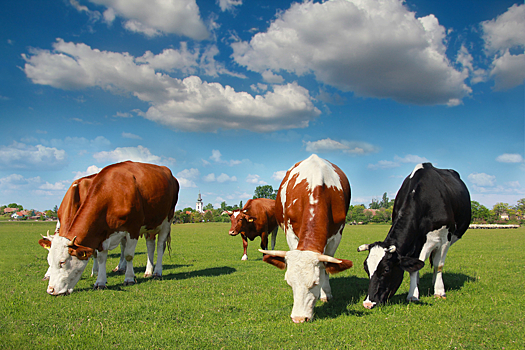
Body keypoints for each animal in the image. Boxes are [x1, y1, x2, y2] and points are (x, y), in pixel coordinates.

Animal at [37, 161, 179, 296]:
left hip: (166, 220)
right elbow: (101, 257)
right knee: (150, 245)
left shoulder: (133, 228)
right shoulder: (101, 232)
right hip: (150, 225)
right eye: (49, 261)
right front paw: (100, 281)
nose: (51, 290)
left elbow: (128, 255)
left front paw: (129, 278)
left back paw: (157, 272)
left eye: (62, 262)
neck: (111, 193)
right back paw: (148, 271)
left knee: (160, 246)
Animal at [258, 154, 352, 324]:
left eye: (315, 283)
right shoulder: (290, 233)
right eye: (289, 283)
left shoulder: (337, 235)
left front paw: (326, 293)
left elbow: (326, 267)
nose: (299, 318)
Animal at [356, 162, 470, 308]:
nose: (368, 303)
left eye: (386, 270)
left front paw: (438, 292)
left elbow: (439, 265)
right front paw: (414, 292)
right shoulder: (416, 241)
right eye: (366, 268)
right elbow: (415, 267)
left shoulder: (445, 238)